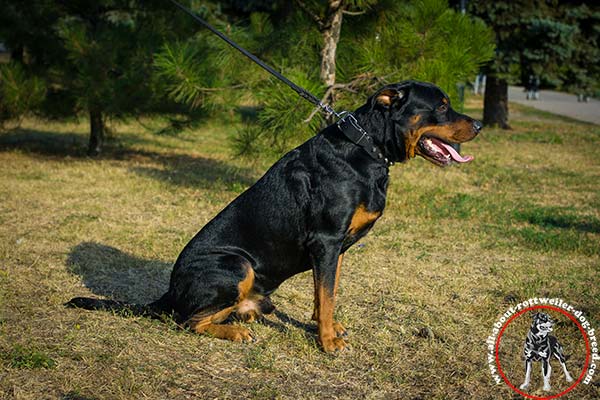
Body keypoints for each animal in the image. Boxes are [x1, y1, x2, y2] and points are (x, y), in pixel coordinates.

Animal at [69, 79, 482, 352]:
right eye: (440, 105)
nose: (479, 125)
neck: (367, 148)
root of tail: (169, 292)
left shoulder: (336, 250)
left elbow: (325, 294)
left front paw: (328, 329)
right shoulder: (326, 241)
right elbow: (326, 295)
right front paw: (328, 342)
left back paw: (245, 315)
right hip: (236, 265)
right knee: (186, 321)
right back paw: (235, 331)